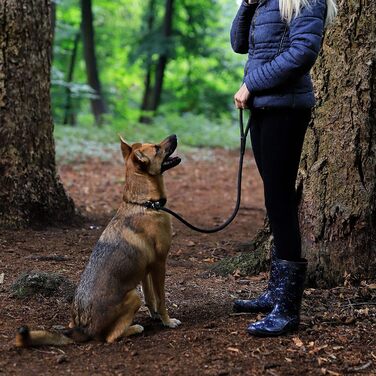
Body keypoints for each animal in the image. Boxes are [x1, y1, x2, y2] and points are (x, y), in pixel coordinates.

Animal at [15, 134, 183, 346]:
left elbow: (150, 297)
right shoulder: (159, 264)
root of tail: (82, 328)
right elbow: (161, 299)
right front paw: (167, 321)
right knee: (110, 337)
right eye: (156, 148)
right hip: (133, 296)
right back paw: (135, 328)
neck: (145, 204)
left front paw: (154, 315)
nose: (175, 136)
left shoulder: (146, 268)